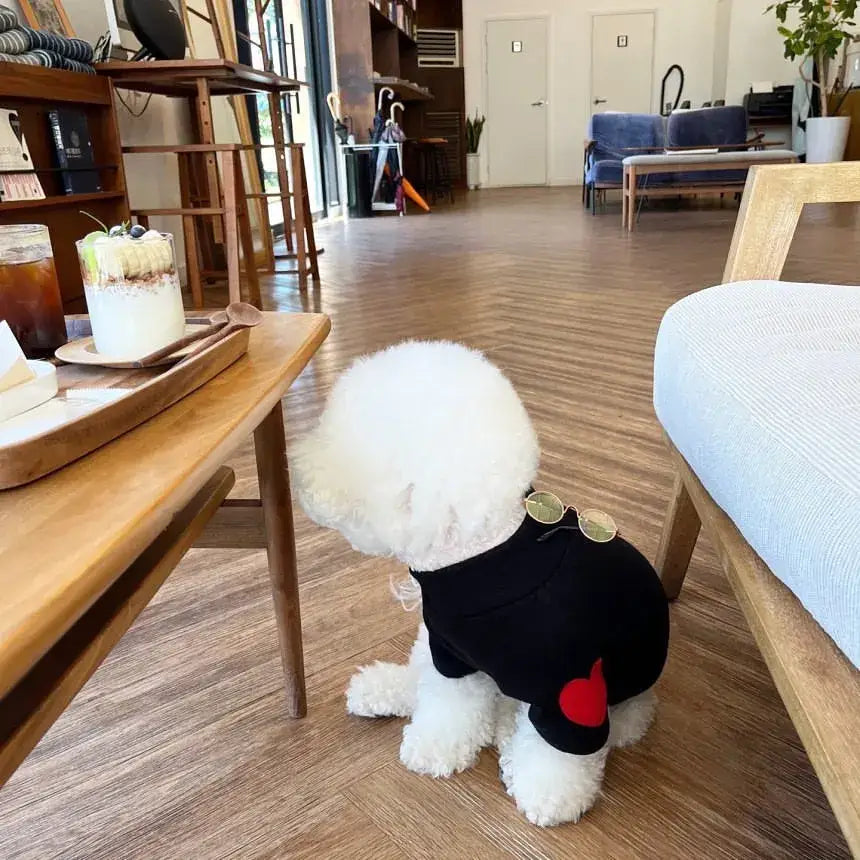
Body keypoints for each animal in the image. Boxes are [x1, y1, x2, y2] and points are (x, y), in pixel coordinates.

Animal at [292, 340, 668, 828]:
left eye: (336, 438)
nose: (296, 469)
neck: (479, 557)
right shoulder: (451, 653)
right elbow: (449, 703)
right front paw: (435, 745)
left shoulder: (572, 688)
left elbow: (559, 754)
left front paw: (547, 794)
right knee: (424, 678)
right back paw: (384, 690)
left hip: (622, 696)